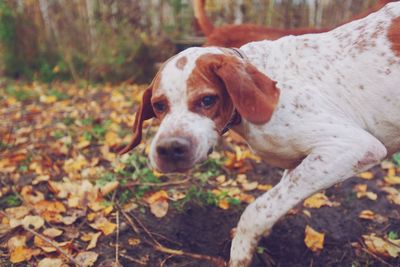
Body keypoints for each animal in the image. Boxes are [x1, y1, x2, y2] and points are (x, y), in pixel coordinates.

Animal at [121, 2, 400, 267]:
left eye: (207, 100)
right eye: (159, 105)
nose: (169, 149)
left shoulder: (351, 147)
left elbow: (254, 212)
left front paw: (240, 253)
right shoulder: (303, 164)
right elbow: (273, 205)